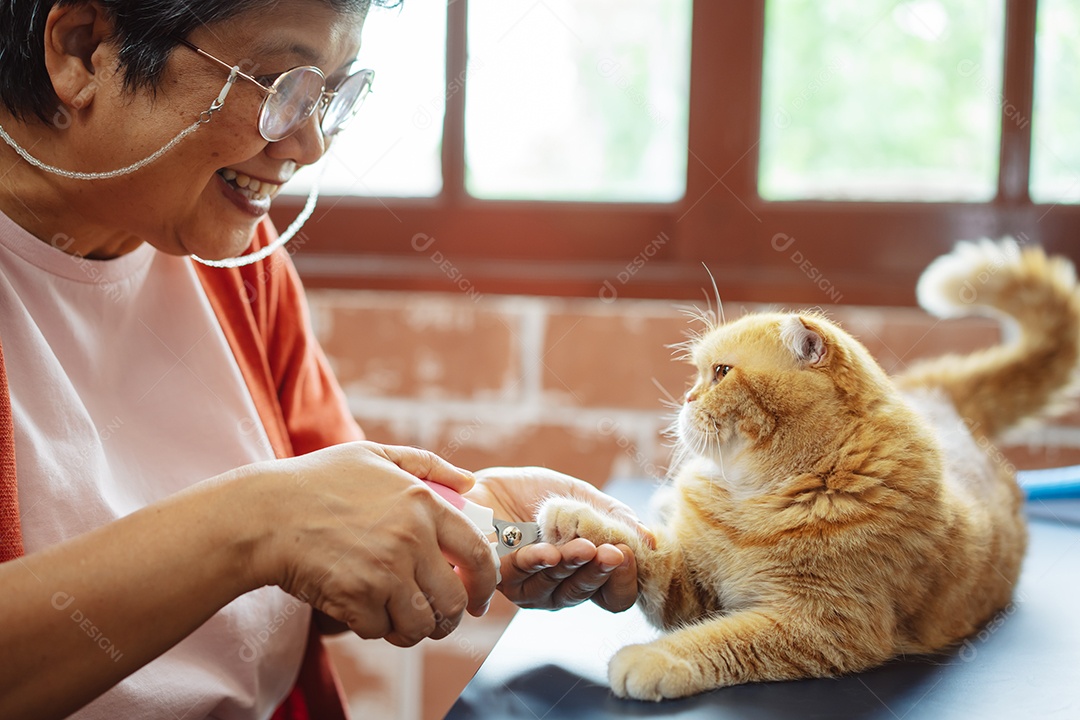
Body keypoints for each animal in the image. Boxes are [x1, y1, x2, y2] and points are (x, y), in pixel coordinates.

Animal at [540, 239, 1080, 699]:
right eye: (700, 374)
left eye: (720, 373)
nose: (686, 398)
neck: (760, 498)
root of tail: (941, 397)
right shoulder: (692, 584)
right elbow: (644, 545)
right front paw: (577, 518)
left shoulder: (823, 625)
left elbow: (719, 639)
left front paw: (656, 659)